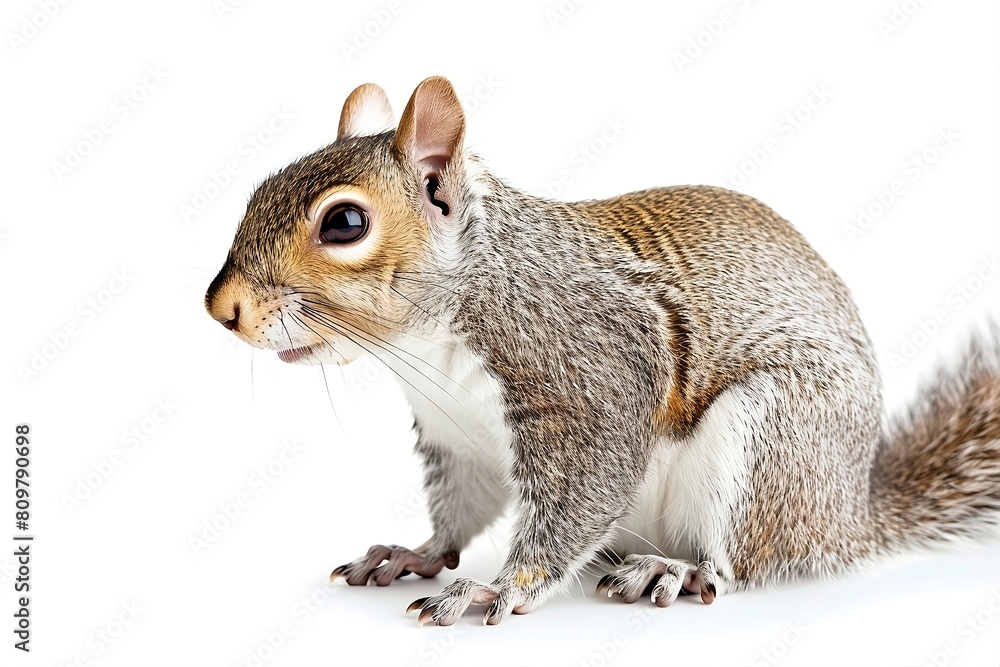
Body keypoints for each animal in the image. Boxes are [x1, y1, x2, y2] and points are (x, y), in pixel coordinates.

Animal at [205, 76, 1000, 626]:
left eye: (344, 223)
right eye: (258, 189)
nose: (221, 308)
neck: (427, 348)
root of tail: (851, 513)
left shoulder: (593, 375)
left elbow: (580, 492)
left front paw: (497, 586)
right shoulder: (457, 438)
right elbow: (460, 509)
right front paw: (416, 554)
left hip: (771, 442)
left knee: (740, 559)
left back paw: (674, 571)